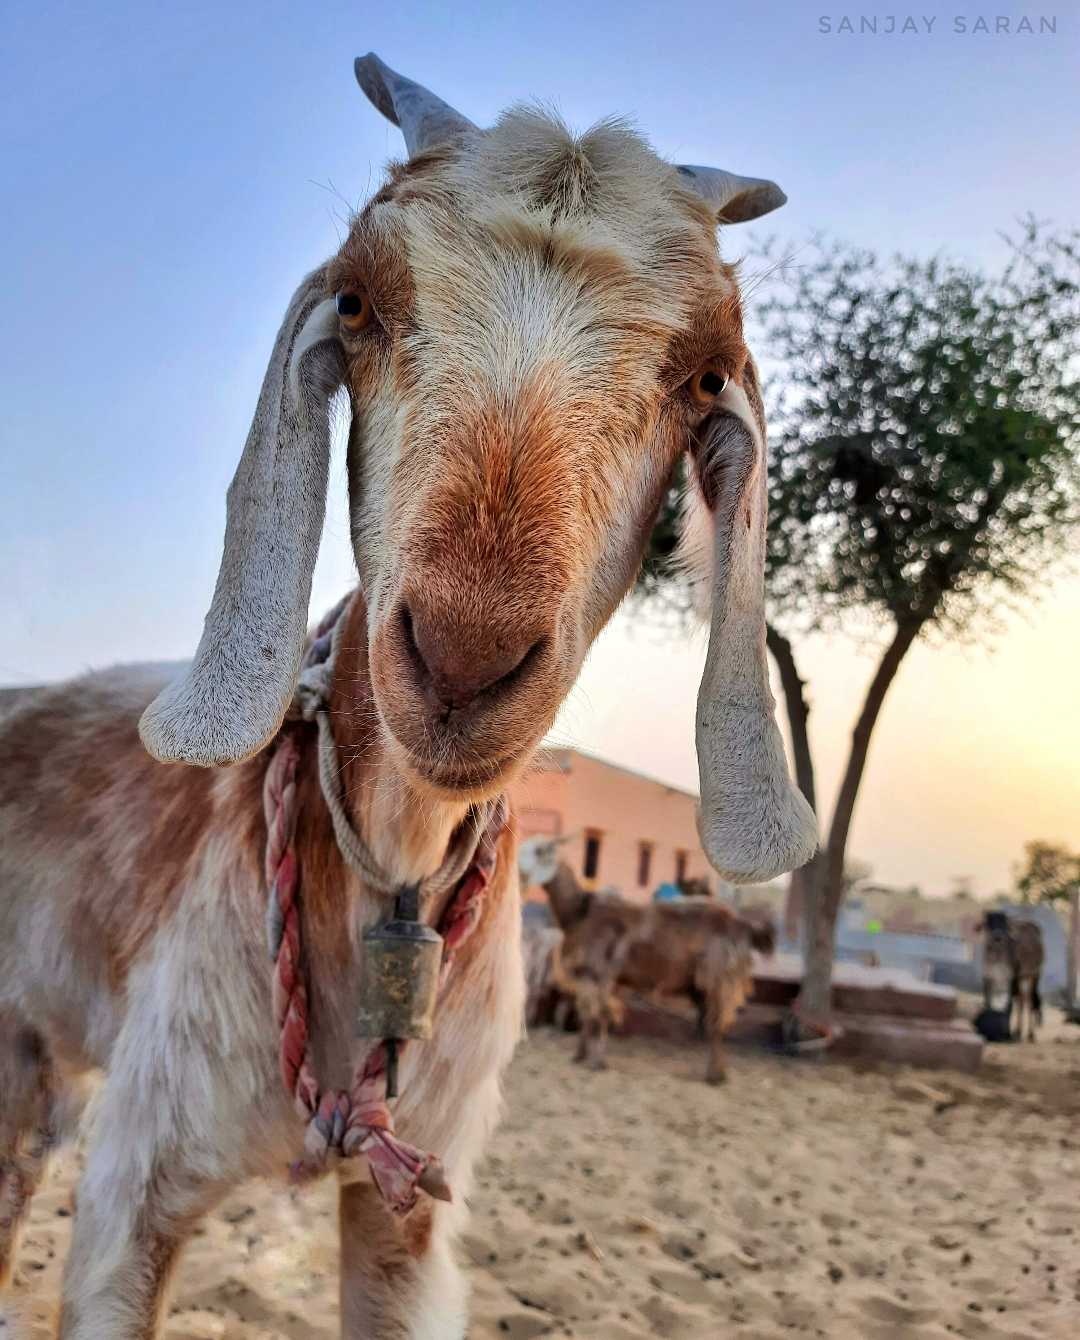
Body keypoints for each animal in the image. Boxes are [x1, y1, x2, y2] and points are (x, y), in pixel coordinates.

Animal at [520, 841, 774, 1083]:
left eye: (539, 850)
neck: (579, 911)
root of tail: (742, 925)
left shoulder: (600, 973)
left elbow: (598, 1015)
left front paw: (597, 1062)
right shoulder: (592, 976)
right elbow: (588, 1014)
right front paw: (579, 1056)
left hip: (719, 976)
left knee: (717, 1023)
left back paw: (714, 1075)